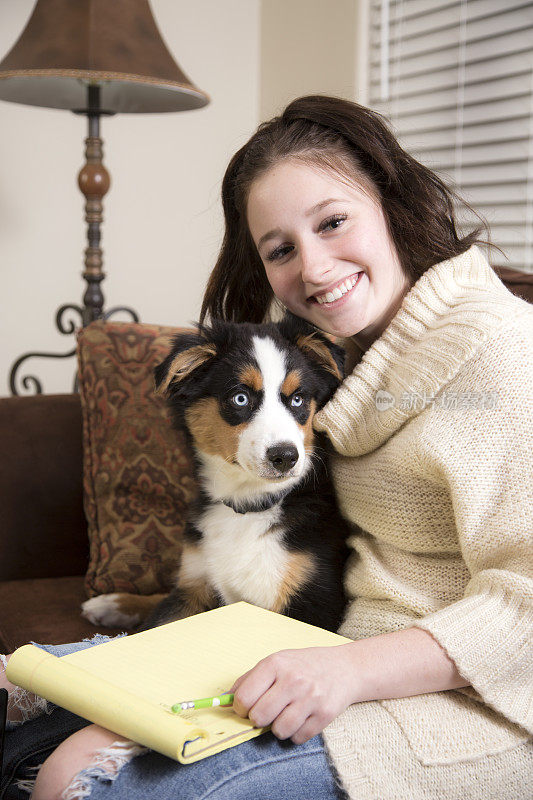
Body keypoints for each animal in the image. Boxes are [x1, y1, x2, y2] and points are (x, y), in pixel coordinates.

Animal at [81, 312, 352, 632]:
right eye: (240, 398)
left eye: (297, 399)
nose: (285, 457)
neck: (247, 505)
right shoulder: (194, 583)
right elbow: (159, 623)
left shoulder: (312, 601)